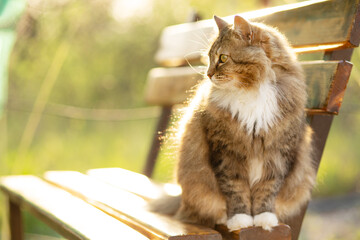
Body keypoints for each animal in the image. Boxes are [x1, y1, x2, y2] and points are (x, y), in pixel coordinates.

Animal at [150, 14, 316, 232]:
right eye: (209, 58)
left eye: (222, 58)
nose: (208, 74)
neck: (252, 91)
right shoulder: (226, 153)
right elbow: (235, 190)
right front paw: (240, 219)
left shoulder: (278, 153)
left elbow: (267, 190)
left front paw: (264, 218)